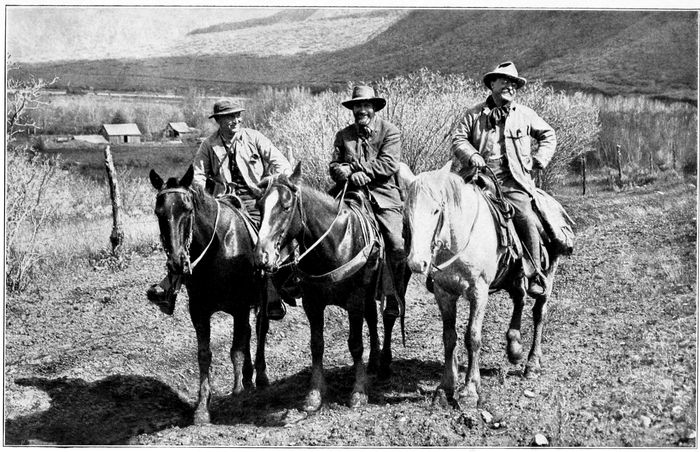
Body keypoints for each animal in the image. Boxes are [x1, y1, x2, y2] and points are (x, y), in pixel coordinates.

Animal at [149, 166, 270, 424]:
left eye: (187, 209)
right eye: (159, 212)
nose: (176, 262)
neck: (218, 247)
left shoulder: (240, 306)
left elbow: (236, 350)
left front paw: (238, 396)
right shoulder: (199, 311)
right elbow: (204, 355)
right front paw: (202, 409)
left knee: (260, 330)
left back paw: (261, 377)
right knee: (248, 334)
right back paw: (247, 378)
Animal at [254, 162, 405, 412]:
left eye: (286, 207)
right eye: (259, 206)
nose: (261, 257)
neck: (335, 243)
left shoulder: (354, 300)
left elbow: (355, 344)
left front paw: (358, 392)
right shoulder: (312, 303)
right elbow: (317, 345)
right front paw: (314, 394)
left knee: (389, 317)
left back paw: (384, 364)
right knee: (373, 319)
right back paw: (374, 362)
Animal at [404, 164, 560, 408]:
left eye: (436, 211)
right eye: (407, 213)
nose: (417, 263)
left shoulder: (479, 291)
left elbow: (473, 337)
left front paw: (470, 390)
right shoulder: (443, 293)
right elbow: (449, 338)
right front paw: (444, 388)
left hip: (548, 275)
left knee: (539, 313)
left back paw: (532, 363)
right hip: (513, 277)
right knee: (519, 299)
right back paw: (514, 348)